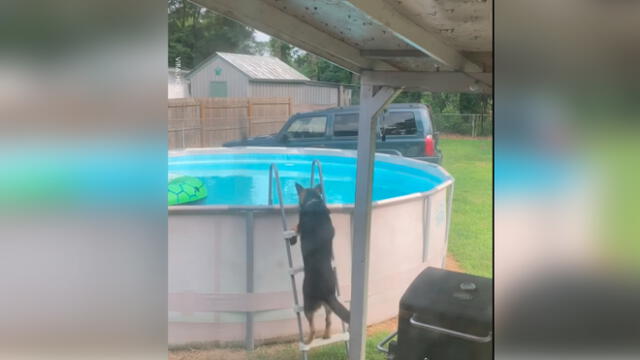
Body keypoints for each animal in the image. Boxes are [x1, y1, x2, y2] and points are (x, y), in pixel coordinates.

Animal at [292, 184, 350, 344]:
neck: (314, 201)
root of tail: (327, 294)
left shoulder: (300, 226)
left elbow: (295, 227)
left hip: (307, 305)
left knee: (312, 328)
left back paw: (308, 340)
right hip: (328, 307)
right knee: (328, 320)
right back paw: (326, 335)